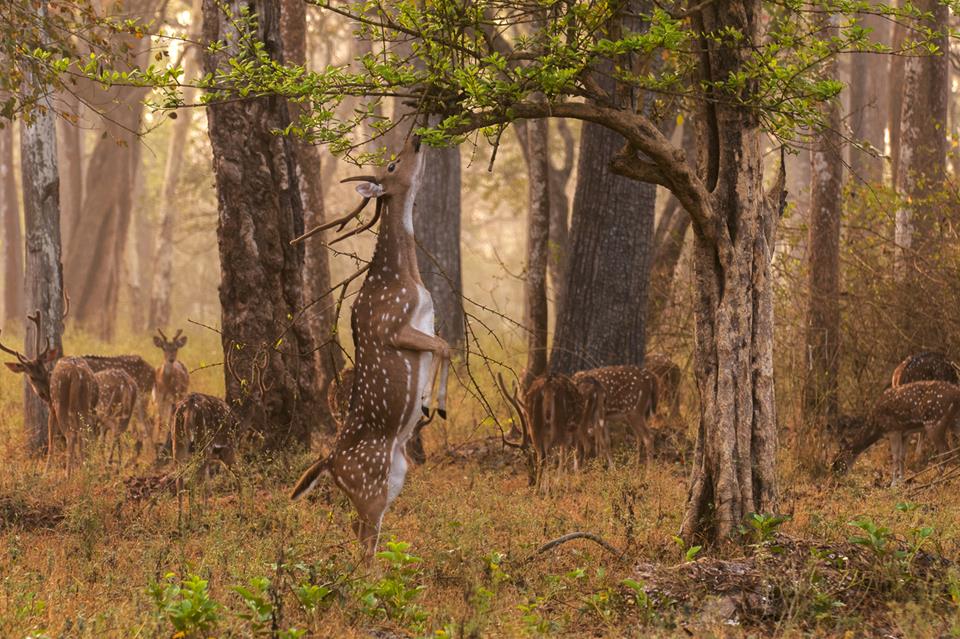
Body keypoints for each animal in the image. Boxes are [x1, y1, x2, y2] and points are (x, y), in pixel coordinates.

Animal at [1, 310, 98, 475]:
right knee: (84, 432)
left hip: (60, 402)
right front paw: (80, 465)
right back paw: (85, 468)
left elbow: (51, 439)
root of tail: (76, 373)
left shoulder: (52, 408)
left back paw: (67, 474)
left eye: (42, 372)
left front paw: (46, 471)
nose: (43, 394)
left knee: (70, 434)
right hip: (85, 402)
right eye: (32, 376)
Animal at [153, 328, 190, 458]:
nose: (171, 359)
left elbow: (168, 420)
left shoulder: (173, 397)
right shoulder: (158, 398)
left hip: (181, 395)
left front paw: (163, 442)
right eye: (164, 348)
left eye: (175, 348)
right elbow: (160, 421)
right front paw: (156, 441)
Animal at [289, 133, 451, 559]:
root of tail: (328, 463)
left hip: (395, 476)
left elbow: (444, 344)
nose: (417, 138)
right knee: (363, 537)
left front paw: (431, 403)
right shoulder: (392, 326)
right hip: (370, 482)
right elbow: (444, 346)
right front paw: (431, 403)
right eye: (392, 165)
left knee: (359, 530)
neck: (405, 278)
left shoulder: (424, 324)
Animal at [829, 381, 960, 485]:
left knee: (946, 452)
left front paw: (893, 483)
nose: (836, 478)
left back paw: (935, 480)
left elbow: (895, 457)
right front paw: (902, 480)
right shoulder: (905, 433)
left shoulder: (893, 430)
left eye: (839, 461)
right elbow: (902, 456)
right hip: (953, 422)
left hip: (934, 421)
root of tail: (956, 394)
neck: (877, 427)